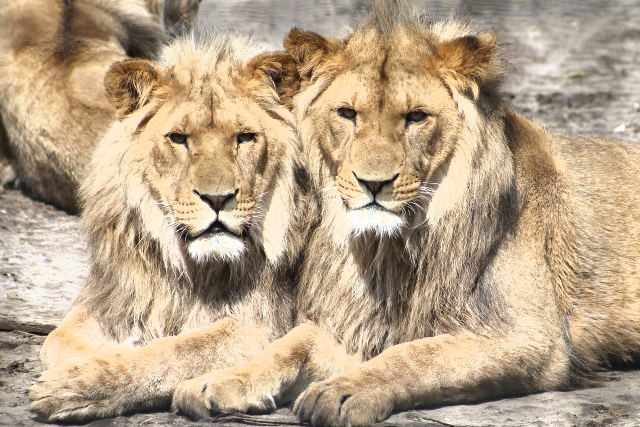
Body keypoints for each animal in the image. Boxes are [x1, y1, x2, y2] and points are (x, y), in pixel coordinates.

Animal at [29, 36, 309, 421]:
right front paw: (103, 352)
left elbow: (179, 352)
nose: (217, 198)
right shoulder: (120, 293)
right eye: (178, 139)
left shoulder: (261, 320)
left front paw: (83, 382)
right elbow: (55, 341)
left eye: (245, 138)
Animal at [172, 2, 640, 426]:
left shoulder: (531, 337)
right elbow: (286, 346)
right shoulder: (351, 318)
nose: (373, 184)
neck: (391, 247)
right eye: (347, 114)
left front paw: (343, 391)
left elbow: (417, 355)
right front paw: (221, 380)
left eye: (416, 118)